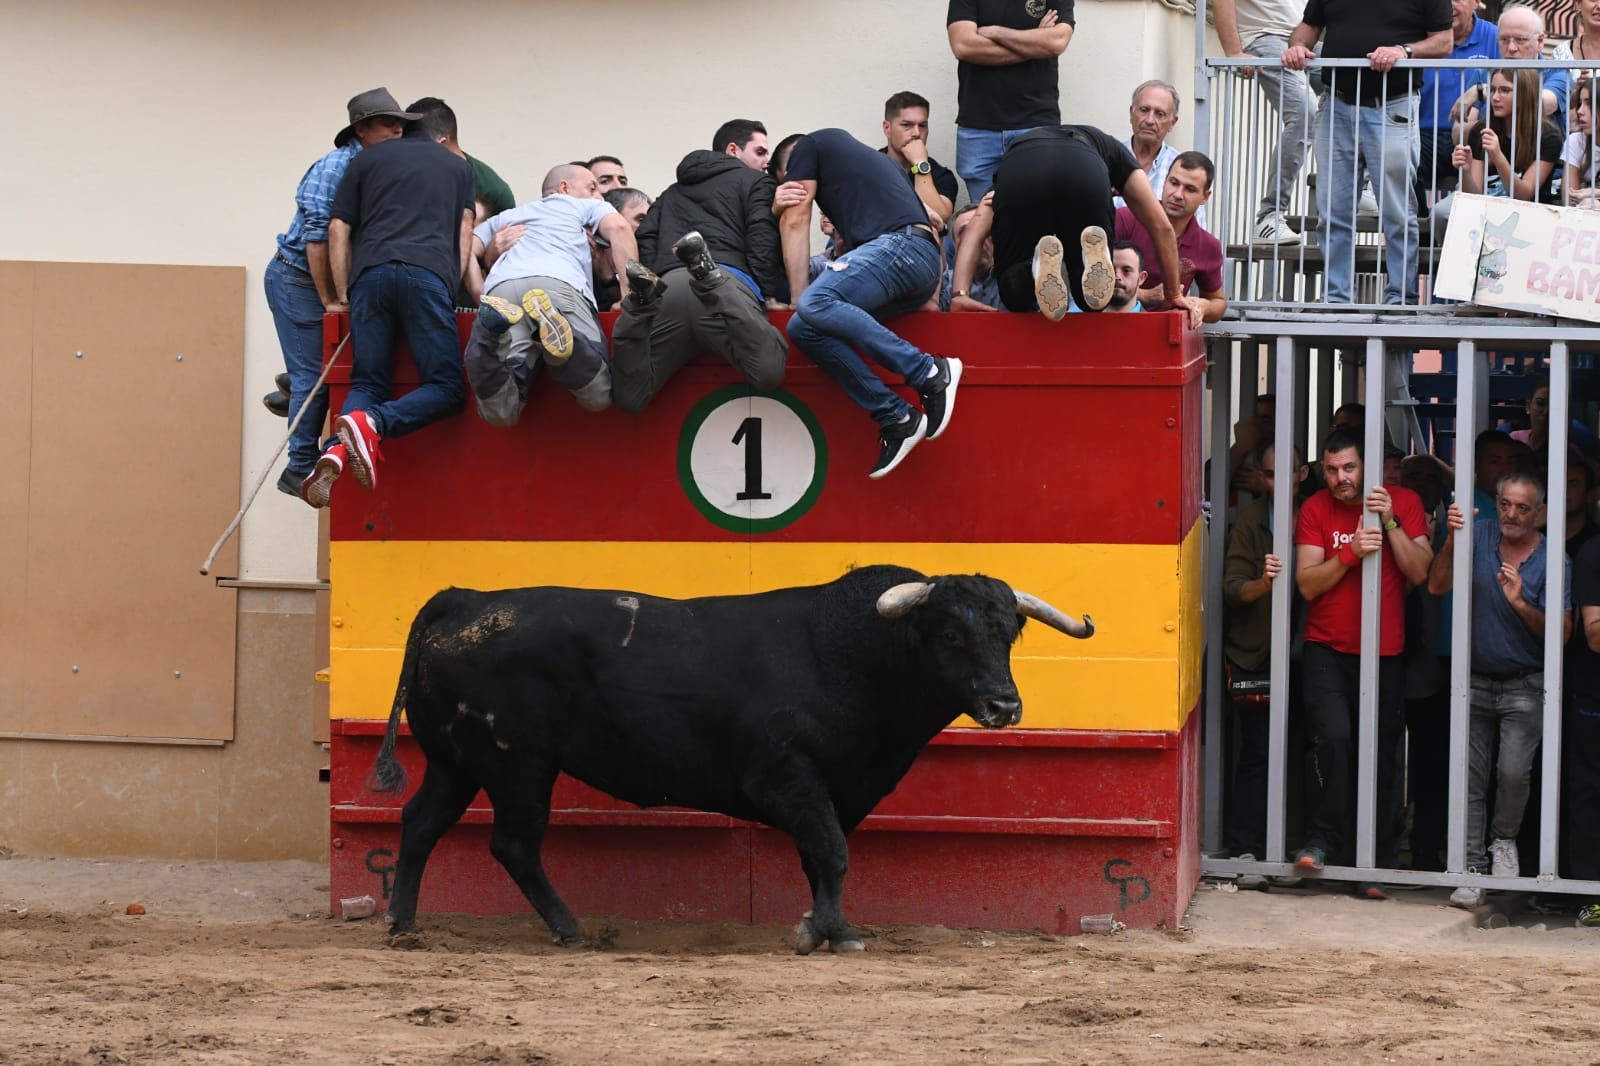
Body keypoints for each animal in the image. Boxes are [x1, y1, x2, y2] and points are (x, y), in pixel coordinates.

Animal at [371, 560, 1100, 947]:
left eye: (1009, 633)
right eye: (951, 633)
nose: (1005, 706)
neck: (853, 655)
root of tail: (465, 600)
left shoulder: (833, 788)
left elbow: (820, 857)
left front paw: (822, 924)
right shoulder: (785, 774)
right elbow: (833, 851)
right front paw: (831, 932)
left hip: (458, 762)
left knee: (421, 822)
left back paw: (403, 922)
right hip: (518, 765)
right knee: (514, 845)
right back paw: (570, 929)